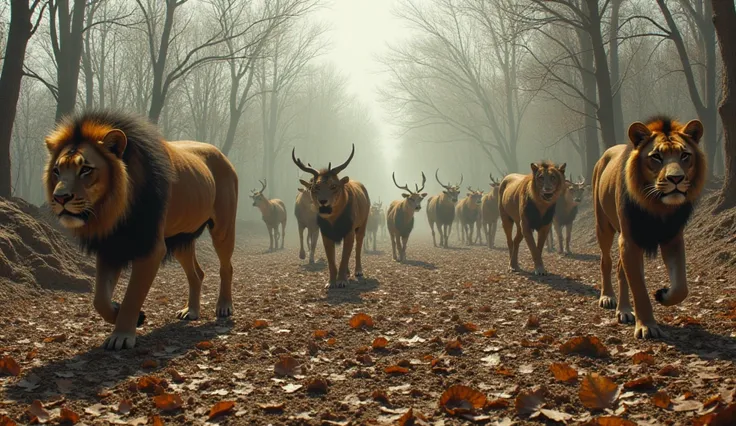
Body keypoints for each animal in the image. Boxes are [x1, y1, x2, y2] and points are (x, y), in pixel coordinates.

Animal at [43, 109, 237, 350]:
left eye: (86, 169)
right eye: (57, 171)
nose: (59, 198)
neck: (115, 210)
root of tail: (222, 155)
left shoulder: (151, 248)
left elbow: (132, 296)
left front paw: (122, 335)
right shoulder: (112, 244)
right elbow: (99, 299)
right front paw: (130, 316)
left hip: (223, 228)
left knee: (226, 267)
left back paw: (224, 306)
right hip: (181, 236)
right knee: (197, 274)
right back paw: (191, 311)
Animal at [292, 145, 370, 288]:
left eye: (334, 186)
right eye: (315, 187)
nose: (323, 201)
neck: (334, 220)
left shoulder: (349, 230)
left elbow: (345, 255)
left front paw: (342, 281)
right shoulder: (325, 232)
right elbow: (331, 258)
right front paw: (331, 282)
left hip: (363, 223)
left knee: (358, 246)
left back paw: (357, 271)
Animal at [592, 116, 708, 340]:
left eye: (685, 155)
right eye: (656, 157)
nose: (676, 179)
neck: (657, 205)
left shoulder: (673, 238)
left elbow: (681, 287)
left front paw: (662, 294)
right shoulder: (630, 240)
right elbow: (639, 288)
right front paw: (646, 326)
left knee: (620, 270)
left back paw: (624, 310)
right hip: (604, 226)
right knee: (606, 261)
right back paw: (608, 298)